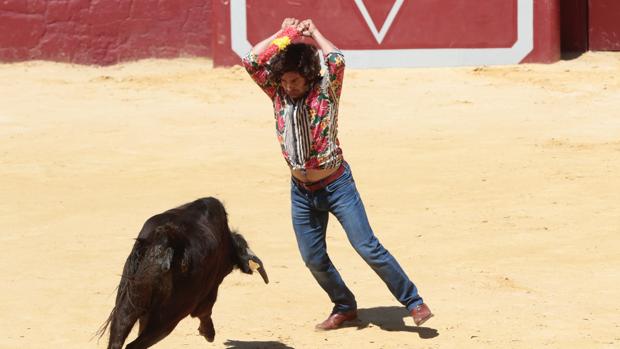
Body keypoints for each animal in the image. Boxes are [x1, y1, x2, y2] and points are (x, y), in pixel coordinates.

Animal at [98, 197, 268, 346]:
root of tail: (164, 240)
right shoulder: (209, 291)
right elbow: (205, 311)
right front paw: (208, 333)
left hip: (128, 303)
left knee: (118, 338)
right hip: (169, 318)